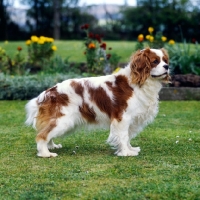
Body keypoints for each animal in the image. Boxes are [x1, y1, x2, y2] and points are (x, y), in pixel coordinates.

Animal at [24, 47, 169, 157]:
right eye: (155, 61)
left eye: (165, 60)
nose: (167, 66)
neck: (138, 82)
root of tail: (47, 93)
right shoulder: (122, 117)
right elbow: (123, 136)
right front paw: (126, 152)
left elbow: (127, 137)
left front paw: (130, 149)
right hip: (63, 121)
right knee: (42, 135)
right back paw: (45, 153)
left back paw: (52, 146)